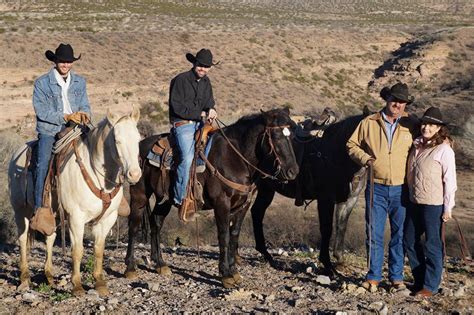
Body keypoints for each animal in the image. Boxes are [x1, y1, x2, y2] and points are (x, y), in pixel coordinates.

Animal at [9, 108, 141, 296]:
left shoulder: (107, 219)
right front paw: (77, 285)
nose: (134, 175)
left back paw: (49, 276)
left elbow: (99, 250)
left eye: (138, 139)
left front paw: (99, 282)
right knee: (22, 239)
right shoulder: (76, 218)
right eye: (117, 140)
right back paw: (25, 278)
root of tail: (17, 154)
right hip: (20, 211)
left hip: (53, 215)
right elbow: (77, 251)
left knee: (50, 238)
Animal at [124, 108, 298, 288]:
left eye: (292, 136)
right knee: (134, 226)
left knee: (156, 223)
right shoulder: (222, 203)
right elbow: (223, 235)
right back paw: (130, 268)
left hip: (164, 199)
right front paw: (225, 274)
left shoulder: (243, 205)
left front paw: (234, 271)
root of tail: (141, 145)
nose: (293, 171)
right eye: (276, 136)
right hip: (140, 194)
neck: (235, 158)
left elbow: (234, 234)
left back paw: (160, 264)